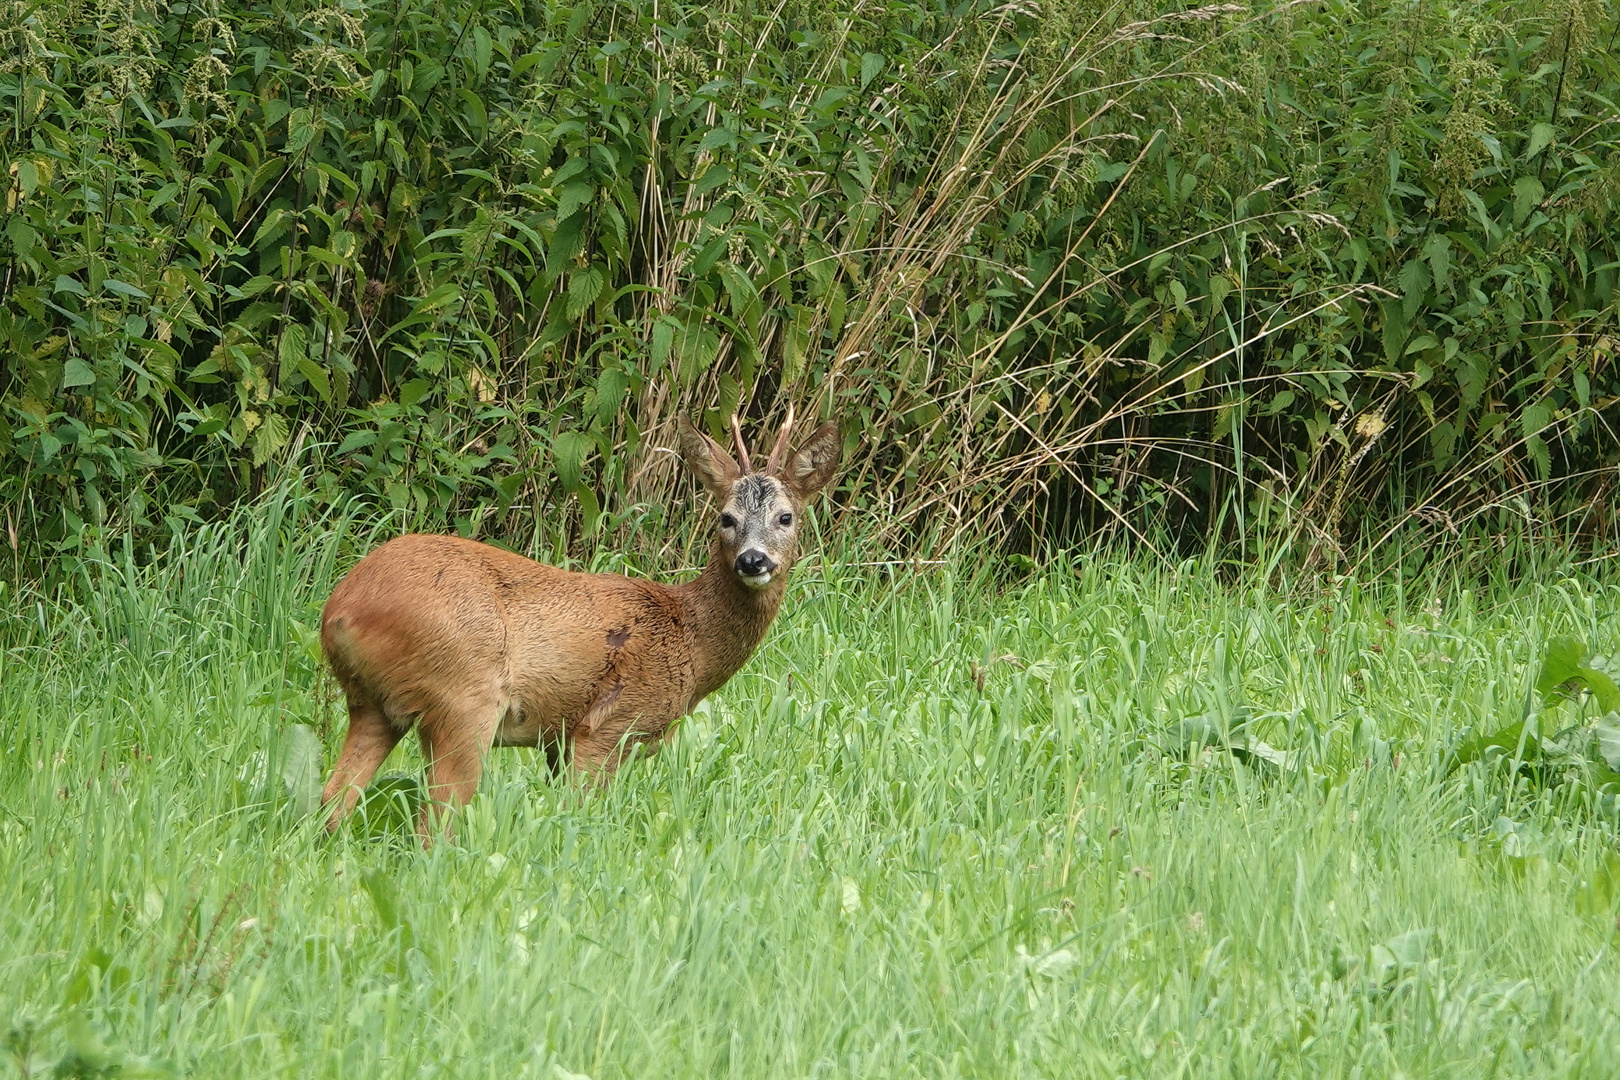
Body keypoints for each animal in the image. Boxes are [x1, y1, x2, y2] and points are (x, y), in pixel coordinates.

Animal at [320, 409, 842, 841]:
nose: (753, 560)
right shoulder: (608, 727)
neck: (691, 640)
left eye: (786, 517)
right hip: (463, 696)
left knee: (332, 802)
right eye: (726, 518)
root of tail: (340, 611)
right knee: (434, 825)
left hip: (373, 706)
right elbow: (581, 815)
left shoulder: (560, 738)